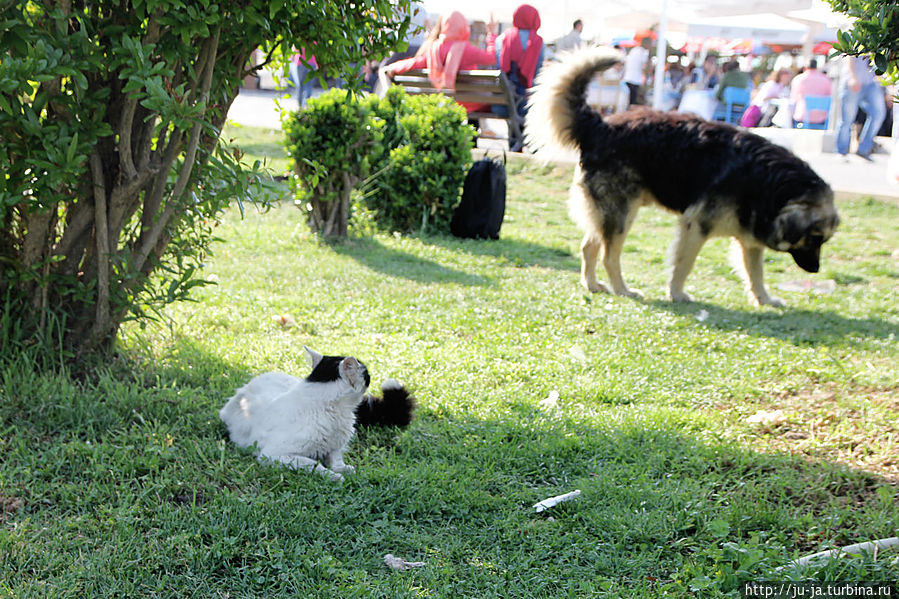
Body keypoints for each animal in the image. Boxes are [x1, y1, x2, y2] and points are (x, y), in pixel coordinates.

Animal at [220, 346, 416, 482]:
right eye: (366, 373)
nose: (369, 374)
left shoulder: (336, 445)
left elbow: (336, 459)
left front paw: (343, 469)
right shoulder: (275, 455)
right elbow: (313, 464)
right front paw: (333, 476)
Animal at [524, 47, 840, 308]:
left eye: (824, 241)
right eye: (814, 238)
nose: (816, 270)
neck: (771, 184)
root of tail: (599, 125)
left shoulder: (750, 238)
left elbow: (755, 273)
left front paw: (764, 299)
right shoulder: (696, 226)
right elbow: (683, 265)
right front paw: (676, 294)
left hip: (610, 212)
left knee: (589, 246)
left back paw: (592, 285)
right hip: (622, 213)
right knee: (607, 255)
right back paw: (623, 290)